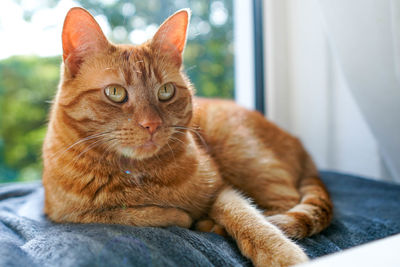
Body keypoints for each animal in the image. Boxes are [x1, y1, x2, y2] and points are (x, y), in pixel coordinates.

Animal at [42, 7, 332, 266]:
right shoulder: (64, 214)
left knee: (283, 206)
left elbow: (249, 217)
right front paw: (175, 214)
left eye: (166, 91)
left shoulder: (222, 189)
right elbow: (126, 215)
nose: (151, 124)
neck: (136, 176)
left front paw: (282, 254)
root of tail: (299, 144)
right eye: (115, 92)